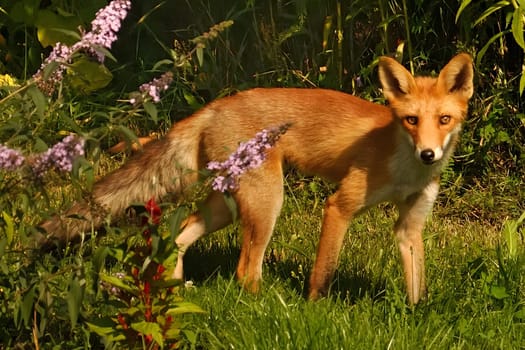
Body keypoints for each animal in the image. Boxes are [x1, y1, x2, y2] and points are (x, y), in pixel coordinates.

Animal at [40, 53, 474, 304]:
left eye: (444, 120)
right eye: (411, 120)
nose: (429, 154)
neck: (404, 166)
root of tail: (216, 105)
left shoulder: (410, 224)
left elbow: (417, 287)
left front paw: (417, 317)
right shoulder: (340, 205)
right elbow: (324, 272)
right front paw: (313, 310)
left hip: (227, 206)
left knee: (178, 238)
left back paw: (175, 294)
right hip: (268, 202)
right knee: (245, 271)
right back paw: (265, 305)